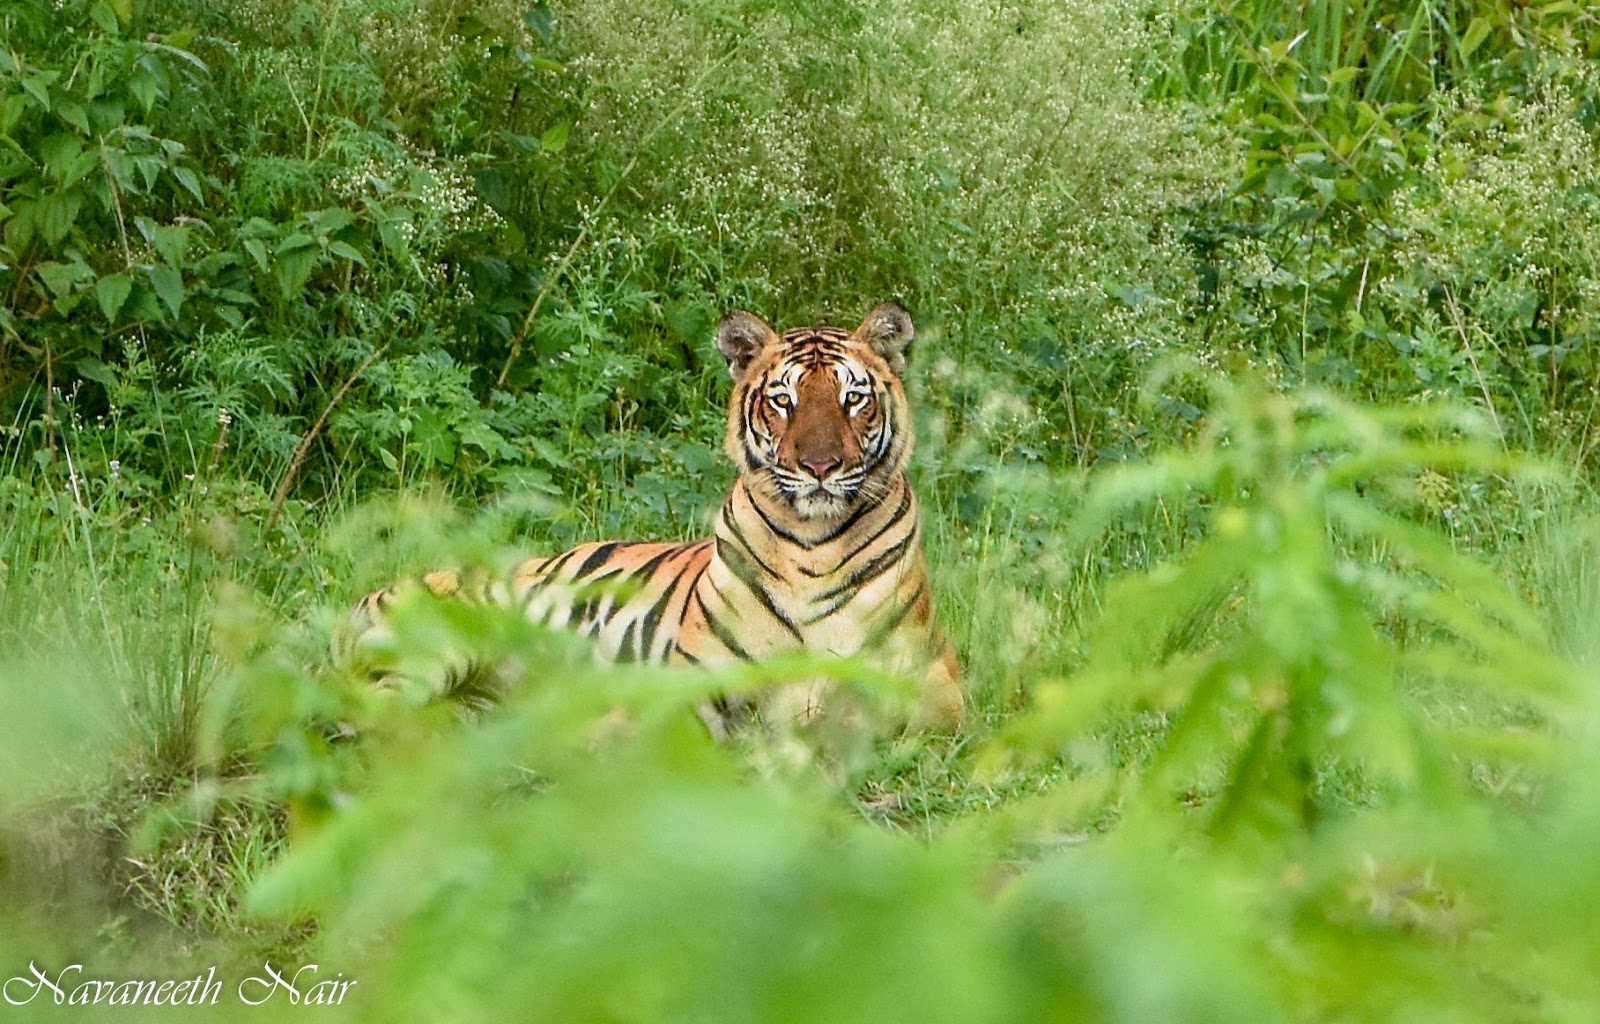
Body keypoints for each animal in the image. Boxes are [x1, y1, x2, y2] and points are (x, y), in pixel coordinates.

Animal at [347, 304, 960, 736]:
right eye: (783, 401)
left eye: (853, 398)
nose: (819, 467)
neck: (812, 545)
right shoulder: (694, 674)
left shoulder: (936, 682)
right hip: (431, 651)